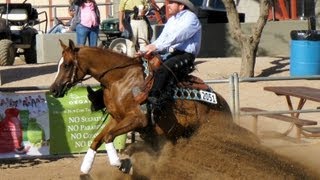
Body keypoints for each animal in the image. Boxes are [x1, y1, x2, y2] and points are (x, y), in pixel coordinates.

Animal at [50, 39, 232, 174]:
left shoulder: (137, 119)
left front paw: (121, 164)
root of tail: (223, 104)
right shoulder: (117, 119)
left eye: (66, 65)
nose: (53, 89)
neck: (120, 79)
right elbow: (97, 139)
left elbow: (108, 137)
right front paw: (85, 168)